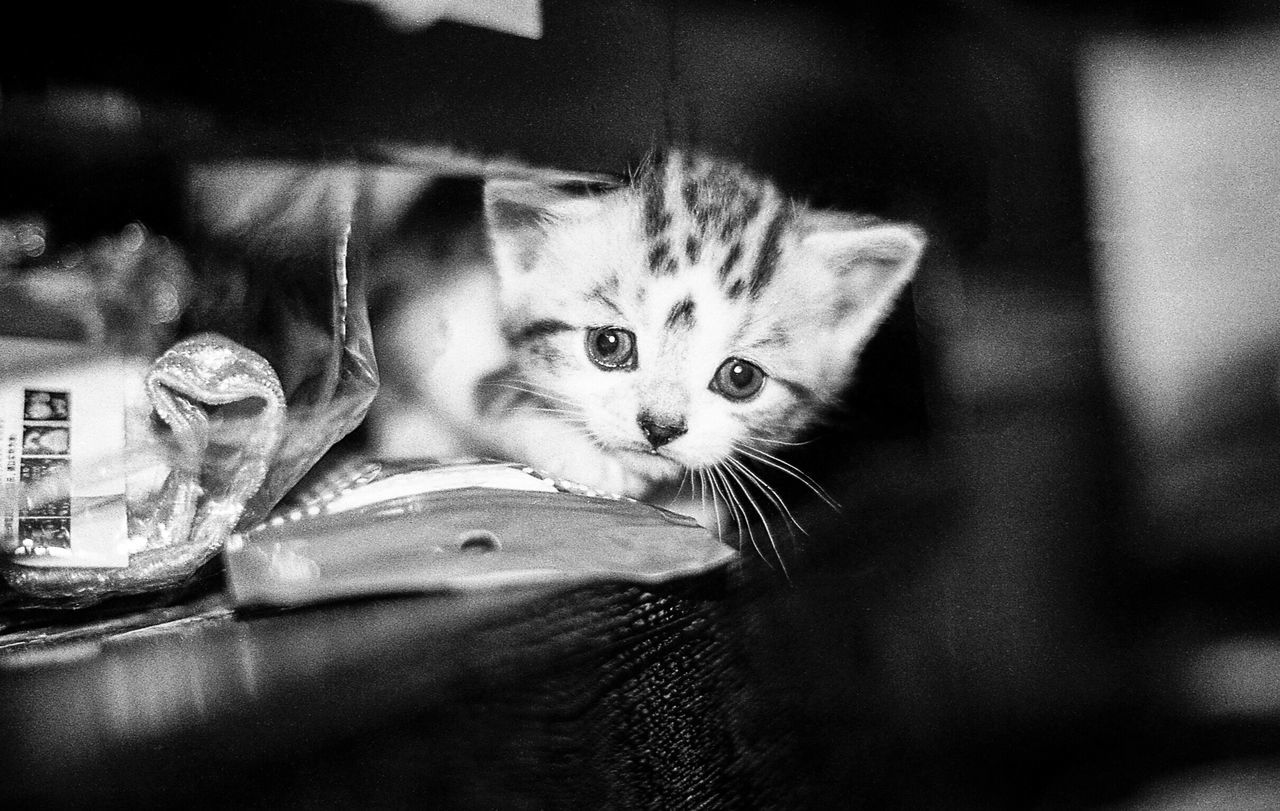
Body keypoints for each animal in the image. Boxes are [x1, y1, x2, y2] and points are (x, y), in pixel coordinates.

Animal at [366, 150, 926, 537]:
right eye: (610, 344)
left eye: (741, 377)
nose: (661, 427)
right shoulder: (436, 320)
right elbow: (487, 395)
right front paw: (580, 455)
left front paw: (690, 500)